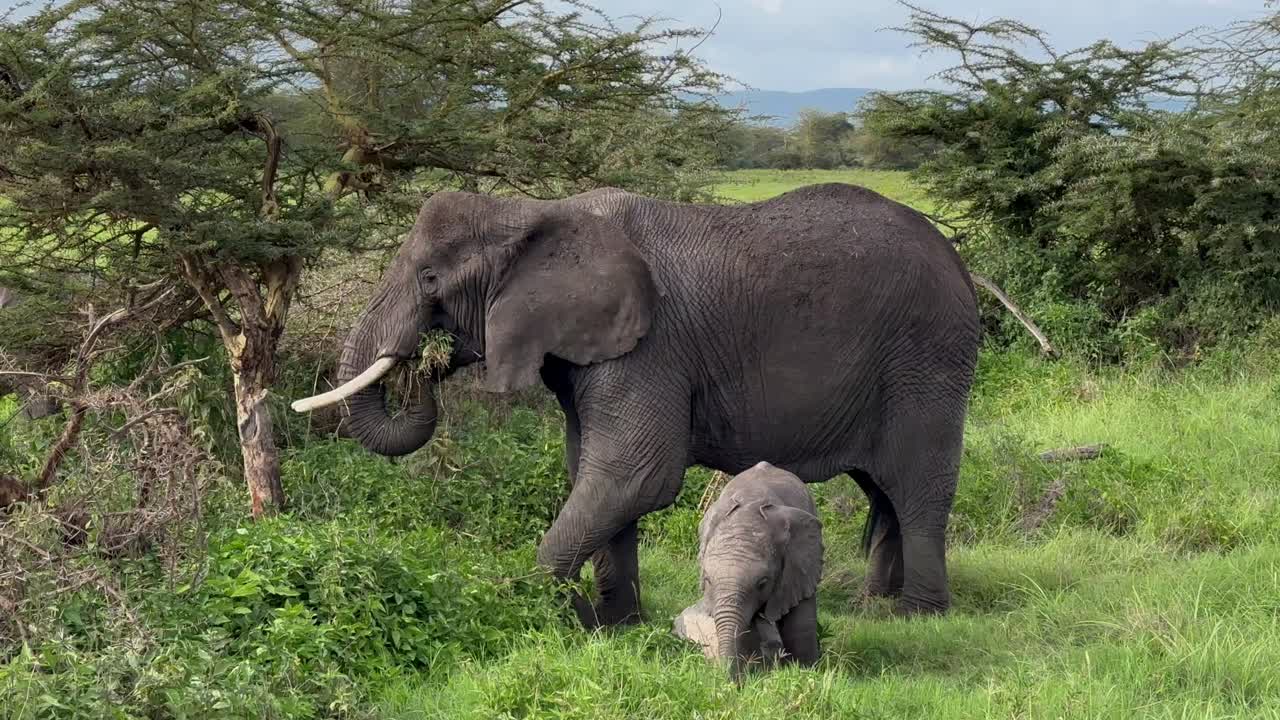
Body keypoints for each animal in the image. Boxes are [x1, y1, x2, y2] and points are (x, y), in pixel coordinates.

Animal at [290, 182, 981, 626]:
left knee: (917, 484)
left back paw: (918, 617)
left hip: (927, 358)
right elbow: (593, 474)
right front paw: (614, 624)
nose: (424, 368)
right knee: (881, 488)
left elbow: (634, 474)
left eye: (430, 278)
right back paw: (875, 608)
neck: (536, 213)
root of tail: (959, 262)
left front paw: (552, 613)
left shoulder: (650, 347)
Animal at [675, 461, 823, 681]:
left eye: (762, 583)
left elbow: (799, 625)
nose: (730, 683)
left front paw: (806, 674)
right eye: (708, 580)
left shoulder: (800, 563)